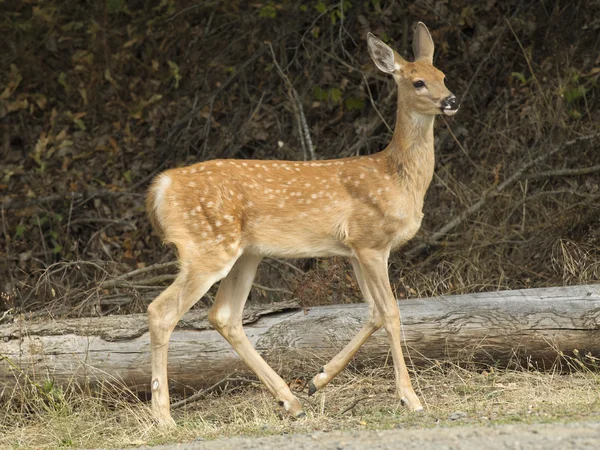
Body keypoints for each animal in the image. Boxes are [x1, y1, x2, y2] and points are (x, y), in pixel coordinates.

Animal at [145, 22, 460, 426]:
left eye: (443, 75)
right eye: (418, 82)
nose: (451, 100)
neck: (397, 177)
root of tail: (161, 187)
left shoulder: (355, 251)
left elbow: (373, 313)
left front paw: (318, 379)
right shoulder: (371, 241)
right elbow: (390, 313)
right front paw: (410, 398)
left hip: (245, 253)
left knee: (224, 315)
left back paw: (291, 401)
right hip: (207, 246)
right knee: (161, 312)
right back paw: (163, 417)